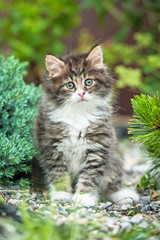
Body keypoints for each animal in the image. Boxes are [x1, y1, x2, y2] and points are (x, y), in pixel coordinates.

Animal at [35, 46, 139, 207]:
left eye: (88, 82)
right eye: (70, 85)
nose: (81, 93)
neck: (78, 113)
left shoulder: (98, 146)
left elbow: (90, 175)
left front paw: (84, 197)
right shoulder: (52, 146)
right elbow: (58, 172)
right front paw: (61, 194)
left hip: (114, 161)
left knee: (112, 186)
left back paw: (122, 194)